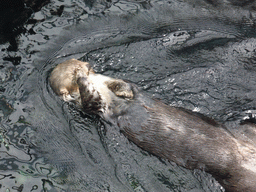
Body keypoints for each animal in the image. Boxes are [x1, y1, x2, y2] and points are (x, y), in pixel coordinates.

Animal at [49, 58, 256, 192]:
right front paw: (84, 83)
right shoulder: (94, 108)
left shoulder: (112, 82)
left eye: (85, 66)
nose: (87, 68)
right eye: (74, 73)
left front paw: (122, 90)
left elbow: (125, 84)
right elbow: (90, 99)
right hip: (238, 180)